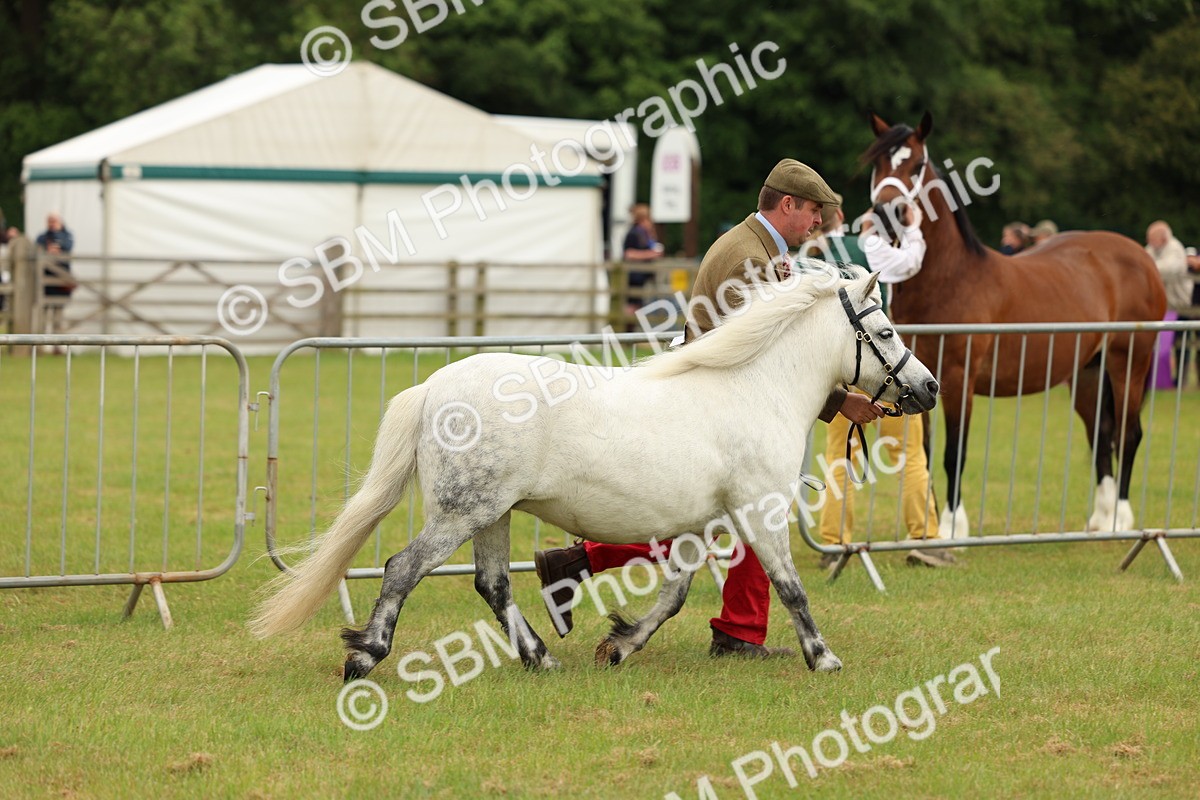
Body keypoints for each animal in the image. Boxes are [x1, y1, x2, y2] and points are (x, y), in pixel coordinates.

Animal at [250, 270, 939, 678]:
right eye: (883, 330)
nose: (928, 389)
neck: (753, 389)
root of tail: (433, 388)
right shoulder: (758, 513)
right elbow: (791, 588)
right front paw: (823, 658)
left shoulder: (700, 524)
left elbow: (674, 595)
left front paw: (620, 645)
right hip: (462, 512)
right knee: (402, 568)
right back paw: (365, 656)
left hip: (492, 514)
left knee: (493, 584)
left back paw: (540, 657)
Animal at [862, 112, 1166, 538]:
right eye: (877, 163)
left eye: (917, 164)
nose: (887, 212)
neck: (950, 278)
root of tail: (1141, 256)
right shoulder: (917, 380)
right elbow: (928, 451)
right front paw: (933, 530)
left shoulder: (957, 378)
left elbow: (954, 451)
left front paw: (954, 529)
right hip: (1088, 373)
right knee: (1101, 434)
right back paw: (1100, 520)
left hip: (1129, 363)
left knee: (1128, 433)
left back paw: (1120, 520)